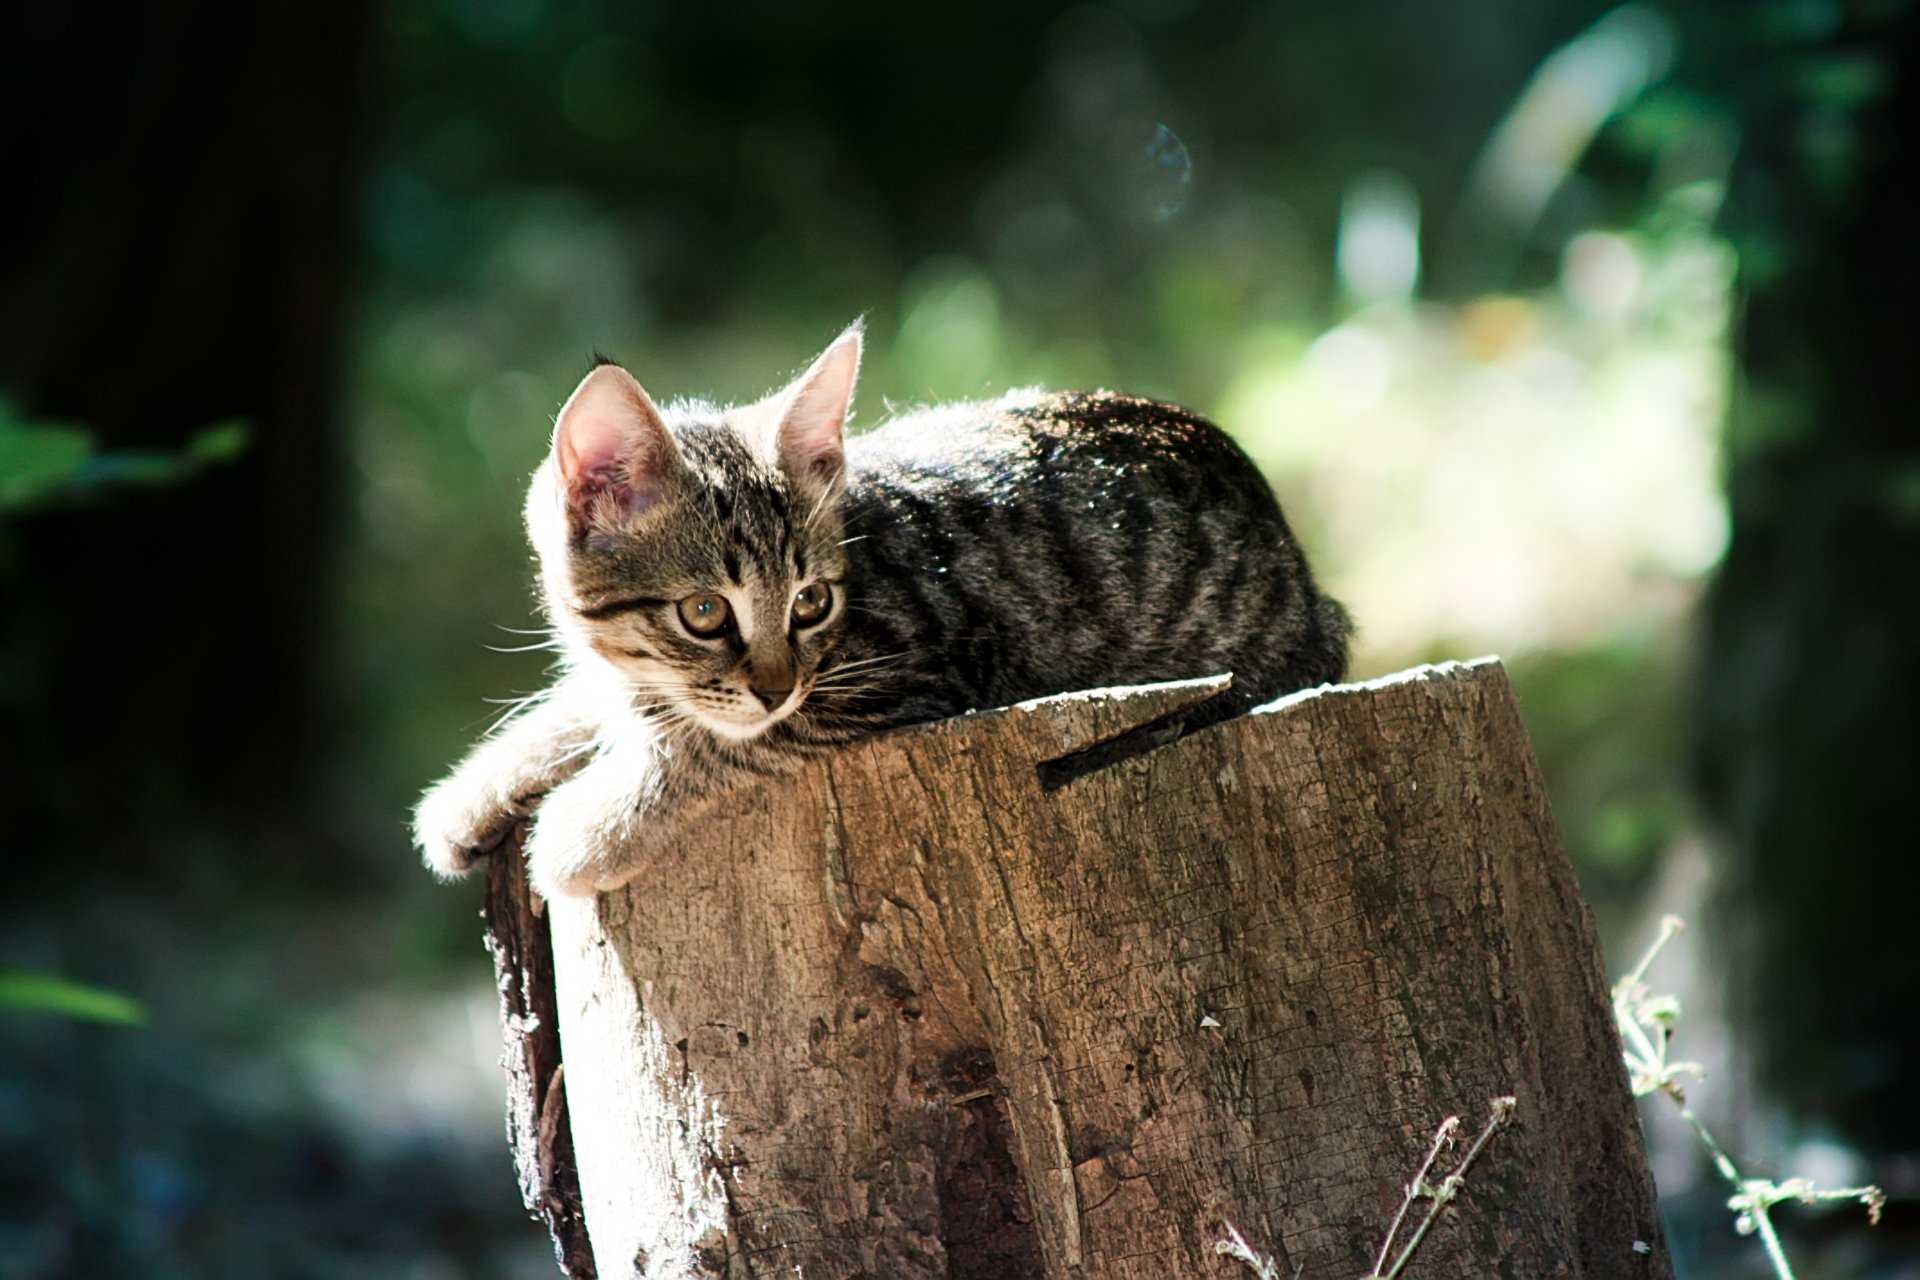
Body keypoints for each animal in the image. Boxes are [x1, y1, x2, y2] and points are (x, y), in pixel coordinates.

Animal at [416, 322, 1351, 901]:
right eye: (706, 612)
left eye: (811, 603)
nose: (775, 685)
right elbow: (592, 703)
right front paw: (474, 790)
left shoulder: (902, 676)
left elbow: (722, 746)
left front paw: (583, 831)